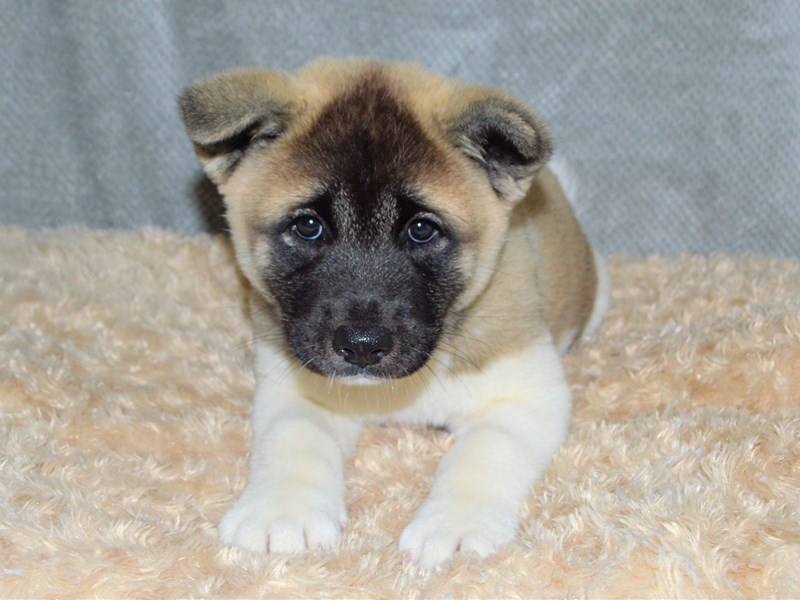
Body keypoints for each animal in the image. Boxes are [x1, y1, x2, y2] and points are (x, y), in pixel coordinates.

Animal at [180, 57, 608, 568]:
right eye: (308, 227)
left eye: (422, 230)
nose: (362, 347)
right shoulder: (295, 390)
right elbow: (293, 438)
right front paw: (282, 511)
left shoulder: (525, 398)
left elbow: (482, 453)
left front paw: (455, 524)